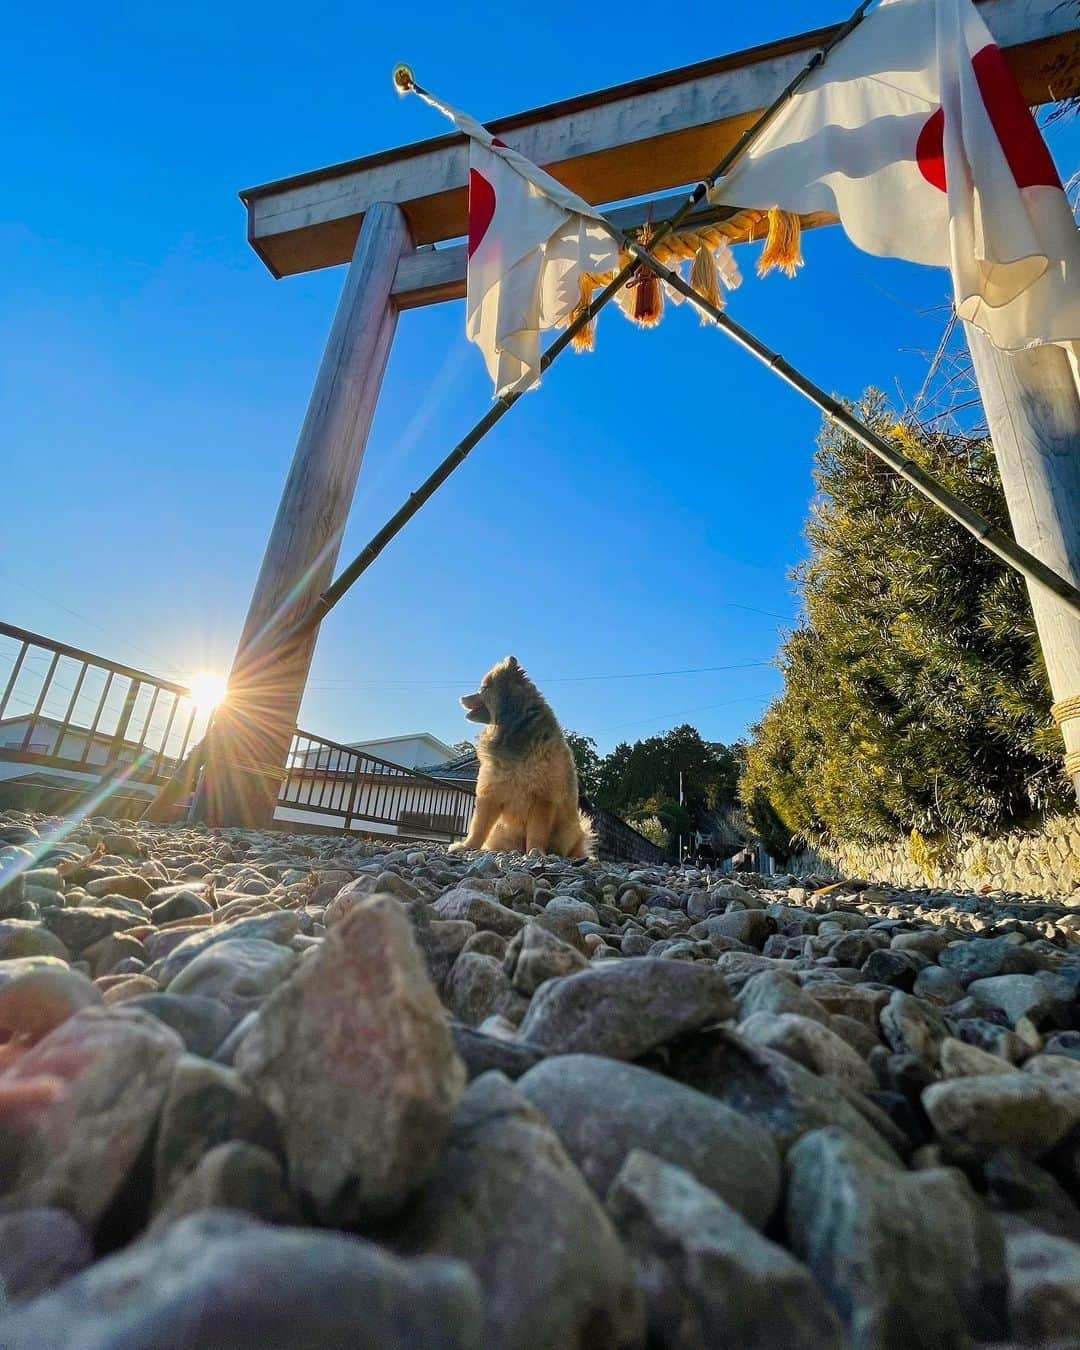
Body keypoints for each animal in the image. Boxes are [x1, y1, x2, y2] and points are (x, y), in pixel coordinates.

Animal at [450, 653, 594, 853]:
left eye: (483, 688)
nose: (461, 698)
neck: (515, 731)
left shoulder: (542, 798)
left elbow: (536, 832)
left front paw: (535, 852)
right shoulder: (491, 794)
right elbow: (478, 827)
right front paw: (467, 846)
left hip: (568, 831)